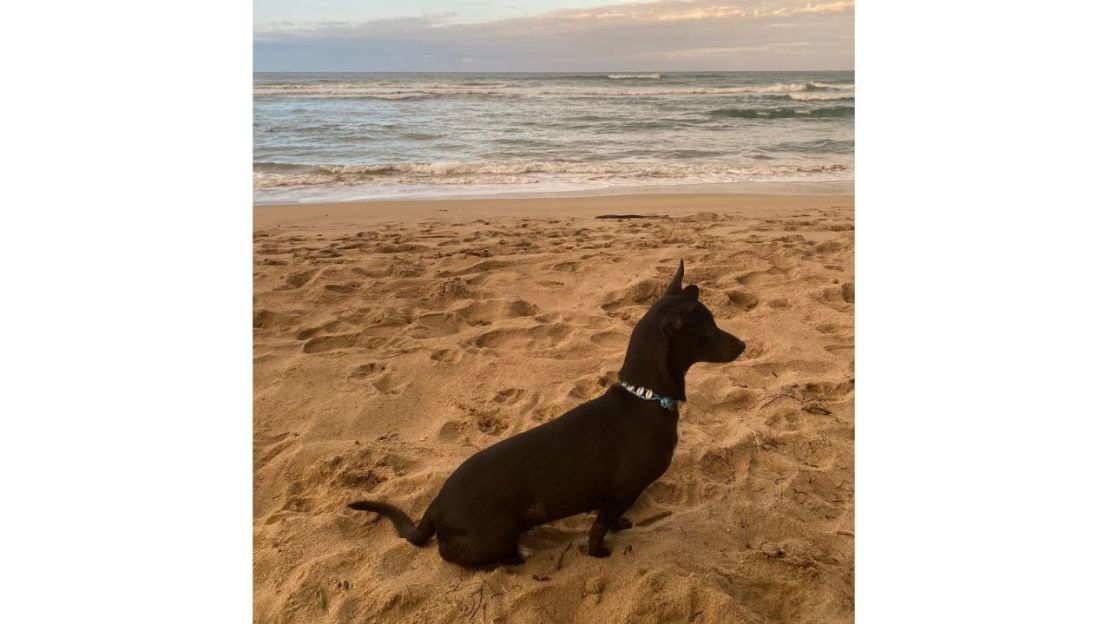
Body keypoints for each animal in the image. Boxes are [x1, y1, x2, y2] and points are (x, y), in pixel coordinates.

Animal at [348, 259, 745, 566]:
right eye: (710, 329)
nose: (744, 344)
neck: (645, 397)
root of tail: (435, 506)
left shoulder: (614, 495)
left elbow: (608, 516)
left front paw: (618, 527)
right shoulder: (625, 489)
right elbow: (598, 527)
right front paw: (597, 551)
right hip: (495, 533)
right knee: (456, 555)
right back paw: (513, 556)